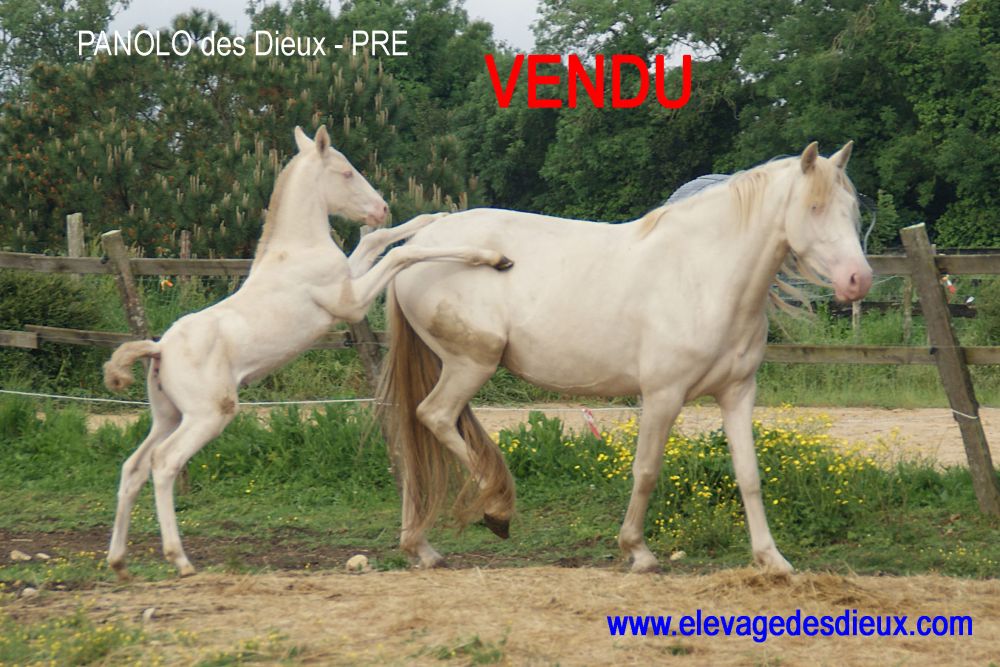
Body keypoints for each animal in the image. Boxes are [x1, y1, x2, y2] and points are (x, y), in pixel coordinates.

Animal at [102, 126, 513, 578]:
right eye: (347, 172)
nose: (381, 208)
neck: (297, 251)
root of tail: (159, 348)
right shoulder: (351, 302)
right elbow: (402, 252)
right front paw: (494, 257)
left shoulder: (351, 276)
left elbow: (378, 241)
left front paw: (435, 217)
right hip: (207, 415)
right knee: (163, 464)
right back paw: (180, 559)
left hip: (168, 415)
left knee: (132, 467)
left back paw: (118, 561)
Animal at [378, 141, 872, 573]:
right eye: (814, 207)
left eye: (852, 210)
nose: (859, 280)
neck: (703, 273)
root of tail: (417, 244)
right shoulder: (663, 395)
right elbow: (647, 470)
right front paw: (638, 552)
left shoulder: (737, 393)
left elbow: (749, 475)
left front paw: (771, 559)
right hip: (470, 364)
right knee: (434, 417)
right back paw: (495, 508)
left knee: (414, 447)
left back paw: (421, 548)